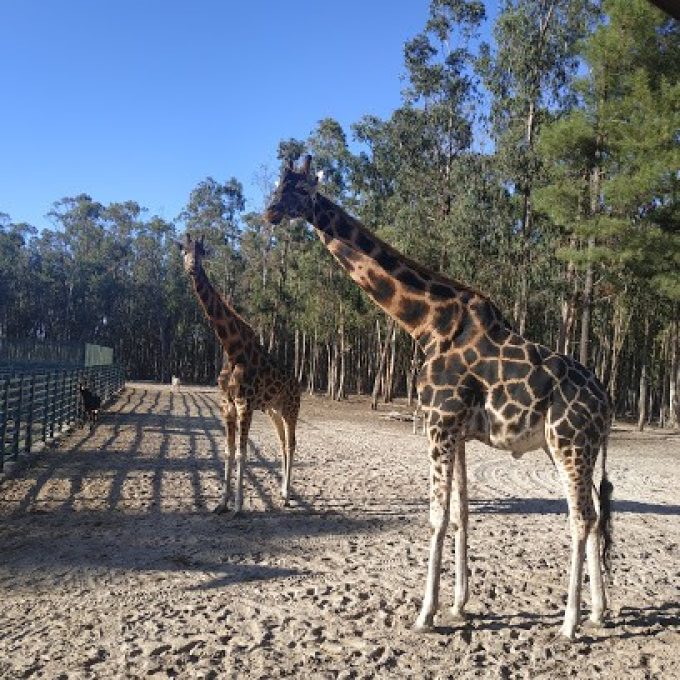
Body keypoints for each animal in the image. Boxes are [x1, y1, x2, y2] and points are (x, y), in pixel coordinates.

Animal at [179, 232, 302, 516]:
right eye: (183, 251)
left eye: (201, 252)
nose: (192, 268)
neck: (231, 348)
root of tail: (298, 382)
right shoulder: (227, 405)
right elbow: (228, 450)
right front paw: (221, 503)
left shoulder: (244, 404)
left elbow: (242, 453)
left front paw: (237, 506)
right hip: (274, 409)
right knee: (282, 443)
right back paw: (282, 492)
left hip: (291, 408)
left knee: (292, 443)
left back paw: (287, 496)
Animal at [266, 157, 616, 640]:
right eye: (278, 185)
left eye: (297, 189)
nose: (270, 213)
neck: (427, 324)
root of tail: (608, 404)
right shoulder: (460, 431)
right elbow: (461, 513)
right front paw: (458, 603)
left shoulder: (439, 420)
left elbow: (435, 515)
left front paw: (424, 614)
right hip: (572, 447)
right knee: (596, 514)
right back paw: (598, 612)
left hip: (570, 443)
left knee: (580, 517)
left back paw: (568, 624)